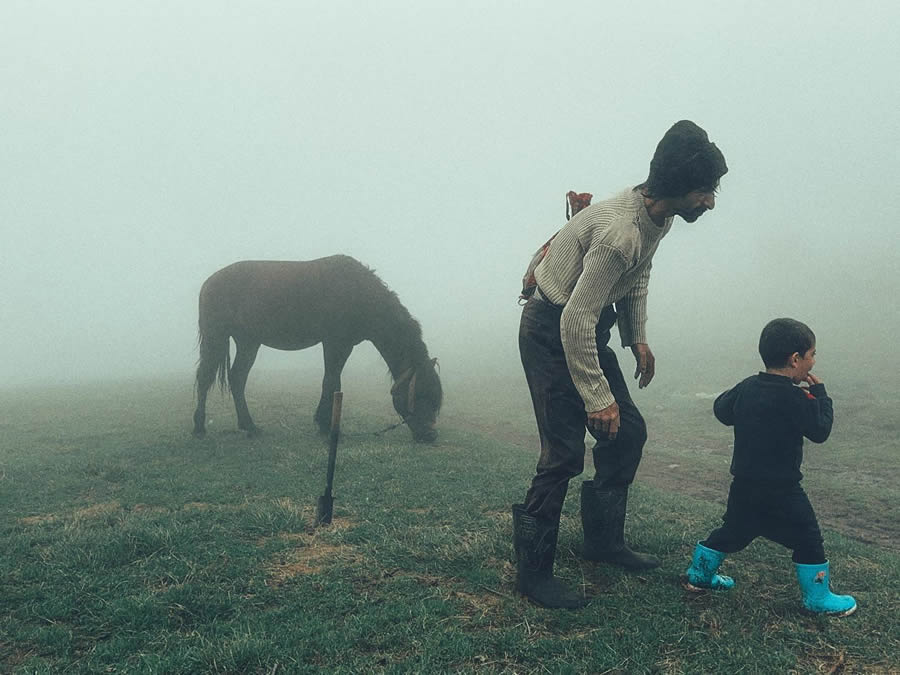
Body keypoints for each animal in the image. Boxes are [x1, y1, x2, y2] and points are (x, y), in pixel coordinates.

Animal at [192, 256, 442, 440]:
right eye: (419, 393)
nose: (430, 435)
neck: (358, 294)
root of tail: (208, 283)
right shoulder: (335, 343)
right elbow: (331, 381)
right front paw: (325, 425)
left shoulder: (342, 345)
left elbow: (332, 381)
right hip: (217, 337)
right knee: (205, 378)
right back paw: (199, 427)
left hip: (248, 342)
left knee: (237, 378)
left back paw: (249, 427)